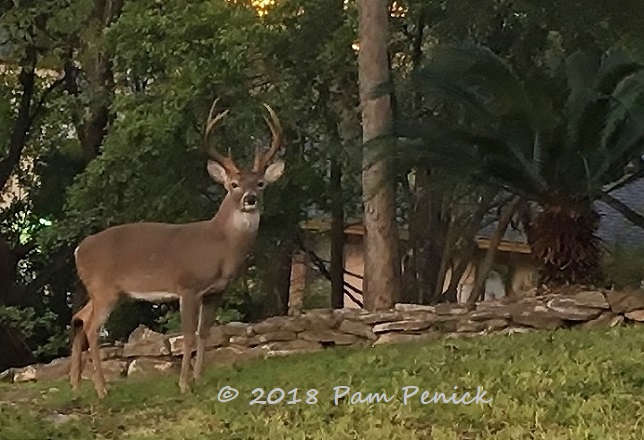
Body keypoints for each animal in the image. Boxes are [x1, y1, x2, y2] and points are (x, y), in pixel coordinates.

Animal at [69, 98, 286, 398]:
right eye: (234, 184)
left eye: (261, 183)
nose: (250, 198)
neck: (220, 245)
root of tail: (79, 250)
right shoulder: (188, 286)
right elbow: (188, 334)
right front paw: (184, 384)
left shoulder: (215, 292)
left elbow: (205, 332)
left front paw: (199, 379)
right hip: (104, 288)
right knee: (91, 327)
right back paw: (102, 389)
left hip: (106, 291)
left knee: (78, 317)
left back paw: (76, 384)